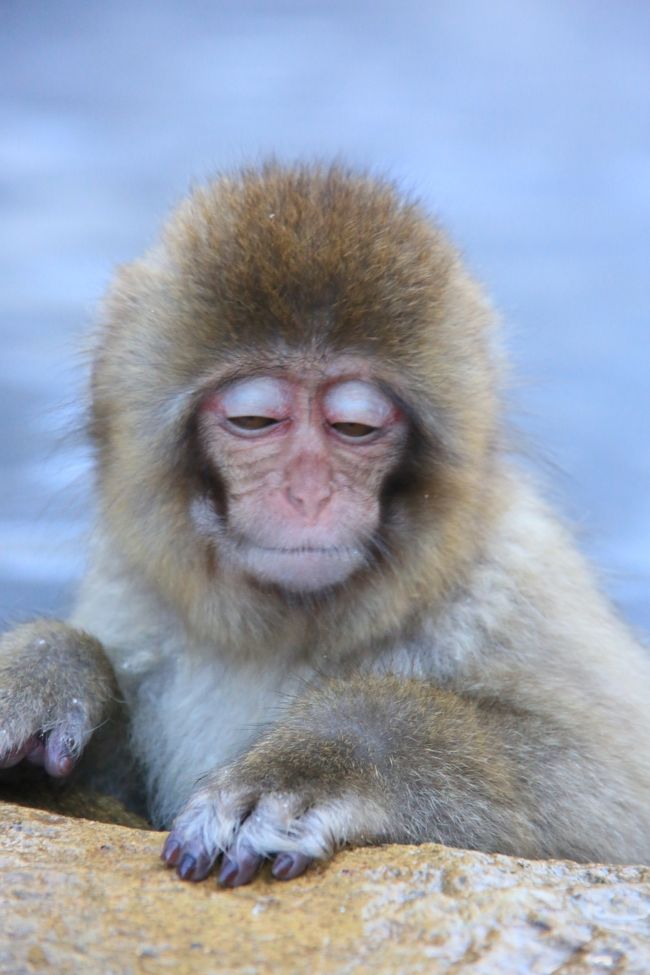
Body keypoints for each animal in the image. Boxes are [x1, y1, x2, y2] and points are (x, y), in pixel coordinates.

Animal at [1, 164, 648, 888]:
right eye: (255, 421)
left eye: (355, 427)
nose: (308, 494)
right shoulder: (132, 593)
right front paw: (49, 668)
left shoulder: (515, 582)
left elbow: (606, 796)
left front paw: (322, 757)